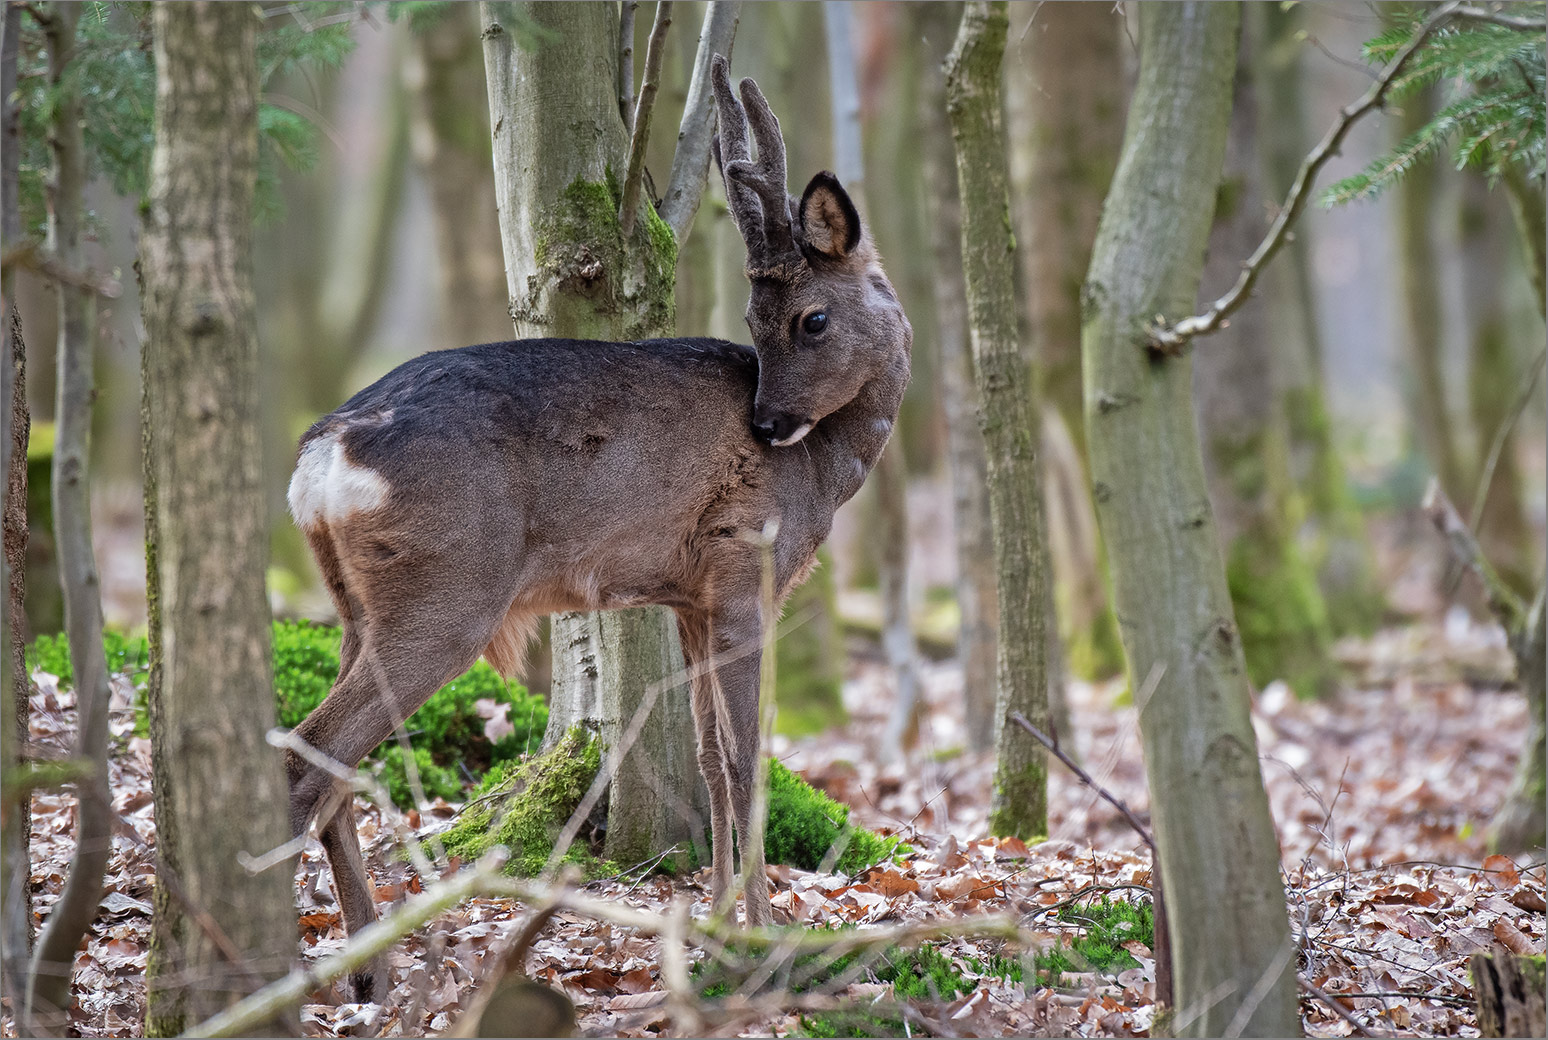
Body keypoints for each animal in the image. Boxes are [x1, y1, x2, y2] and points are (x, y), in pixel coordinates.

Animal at [286, 58, 910, 996]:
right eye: (763, 324)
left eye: (808, 319)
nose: (766, 424)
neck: (822, 473)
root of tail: (322, 457)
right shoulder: (743, 569)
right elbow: (744, 756)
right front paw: (767, 937)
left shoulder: (690, 597)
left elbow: (707, 758)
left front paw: (717, 922)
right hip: (447, 587)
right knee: (309, 751)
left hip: (355, 599)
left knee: (334, 764)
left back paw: (368, 972)